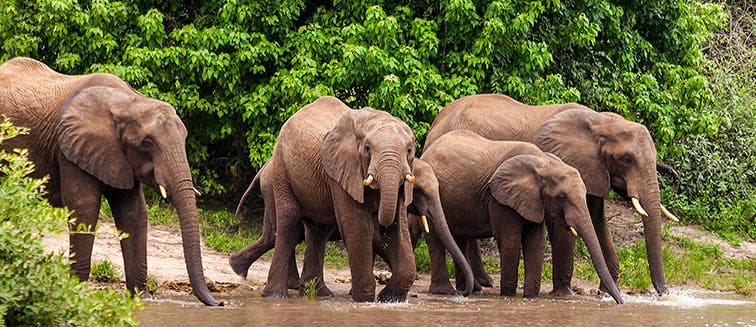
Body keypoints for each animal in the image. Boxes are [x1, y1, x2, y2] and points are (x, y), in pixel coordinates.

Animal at [1, 57, 221, 308]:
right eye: (147, 144)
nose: (219, 304)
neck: (129, 102)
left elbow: (133, 213)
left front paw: (141, 298)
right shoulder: (70, 148)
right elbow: (84, 208)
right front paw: (74, 291)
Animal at [233, 96, 472, 304]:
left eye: (410, 150)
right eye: (367, 149)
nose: (464, 294)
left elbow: (396, 228)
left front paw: (388, 298)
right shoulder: (342, 172)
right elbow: (358, 226)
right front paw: (365, 299)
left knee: (318, 231)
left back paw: (319, 294)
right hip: (283, 171)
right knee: (289, 225)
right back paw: (275, 295)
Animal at [416, 130, 624, 304]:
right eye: (561, 198)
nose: (619, 302)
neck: (543, 163)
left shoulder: (534, 201)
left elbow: (536, 242)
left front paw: (531, 298)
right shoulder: (499, 198)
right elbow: (511, 240)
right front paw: (508, 296)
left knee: (460, 238)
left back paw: (471, 290)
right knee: (436, 239)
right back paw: (446, 291)